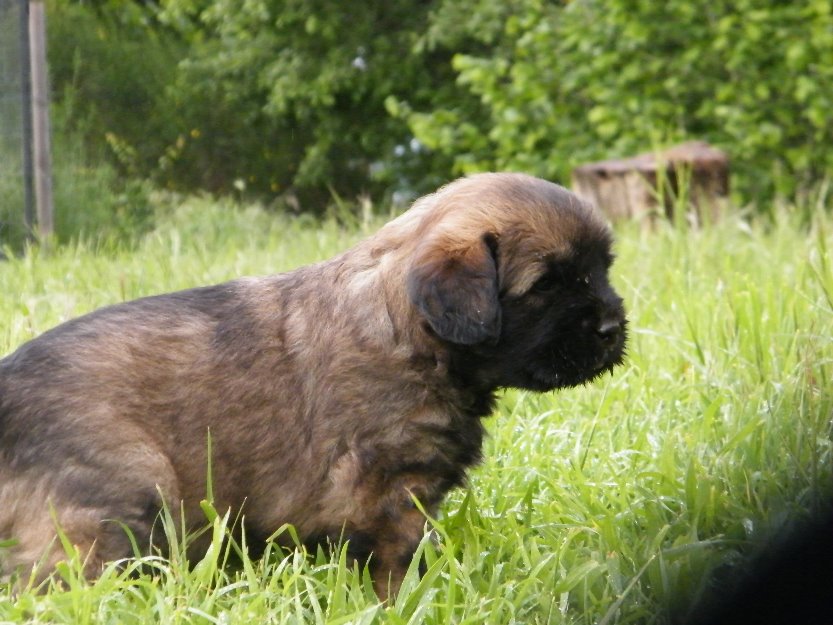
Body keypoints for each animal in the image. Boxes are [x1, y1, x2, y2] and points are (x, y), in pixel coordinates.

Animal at [0, 171, 624, 596]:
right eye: (546, 285)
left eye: (601, 270)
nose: (614, 329)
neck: (410, 329)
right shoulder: (390, 498)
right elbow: (399, 569)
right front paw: (406, 602)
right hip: (126, 489)